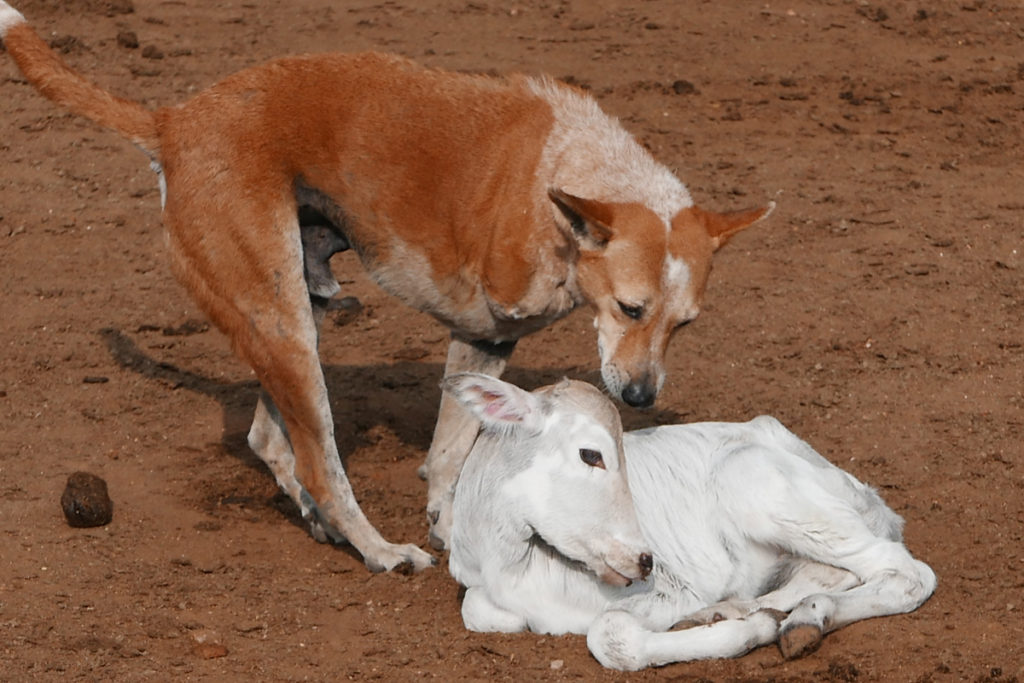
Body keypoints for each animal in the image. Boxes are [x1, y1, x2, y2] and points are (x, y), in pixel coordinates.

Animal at [0, 2, 770, 573]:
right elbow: (453, 447)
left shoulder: (486, 340)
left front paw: (450, 521)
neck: (562, 174)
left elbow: (452, 450)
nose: (640, 397)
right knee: (320, 465)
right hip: (284, 327)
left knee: (271, 442)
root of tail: (173, 122)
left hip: (288, 310)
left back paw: (322, 521)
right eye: (629, 308)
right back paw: (376, 548)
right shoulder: (496, 313)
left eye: (685, 324)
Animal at [442, 370, 937, 671]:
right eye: (591, 454)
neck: (514, 568)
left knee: (906, 572)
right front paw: (739, 618)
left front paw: (748, 630)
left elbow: (609, 634)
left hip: (759, 484)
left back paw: (797, 620)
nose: (645, 559)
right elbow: (478, 610)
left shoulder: (674, 588)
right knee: (826, 574)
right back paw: (777, 616)